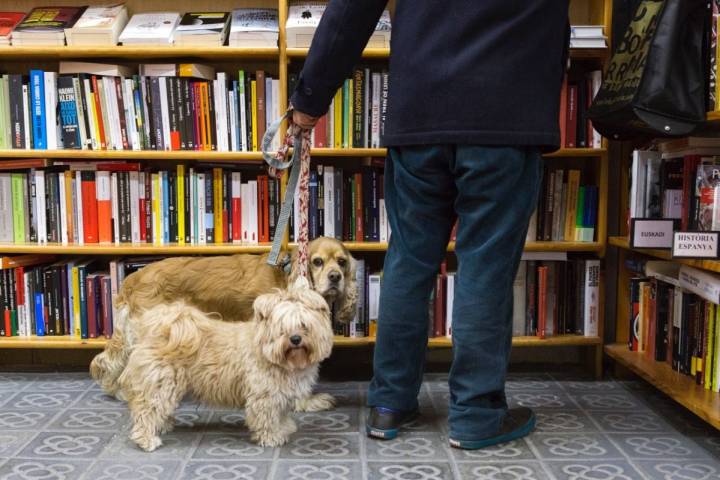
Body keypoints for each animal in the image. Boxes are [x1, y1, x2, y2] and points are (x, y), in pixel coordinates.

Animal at [119, 280, 334, 452]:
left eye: (304, 325)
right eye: (282, 329)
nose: (295, 339)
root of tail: (160, 329)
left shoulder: (280, 396)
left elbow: (280, 415)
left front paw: (284, 427)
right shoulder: (264, 397)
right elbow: (267, 419)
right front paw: (272, 437)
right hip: (160, 385)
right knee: (146, 412)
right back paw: (146, 439)